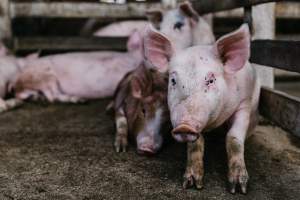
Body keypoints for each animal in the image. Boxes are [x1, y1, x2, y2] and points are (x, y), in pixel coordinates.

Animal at [144, 23, 258, 194]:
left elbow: (233, 138)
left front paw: (238, 188)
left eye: (210, 80)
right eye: (173, 80)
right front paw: (191, 184)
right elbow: (196, 144)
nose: (184, 126)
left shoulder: (244, 103)